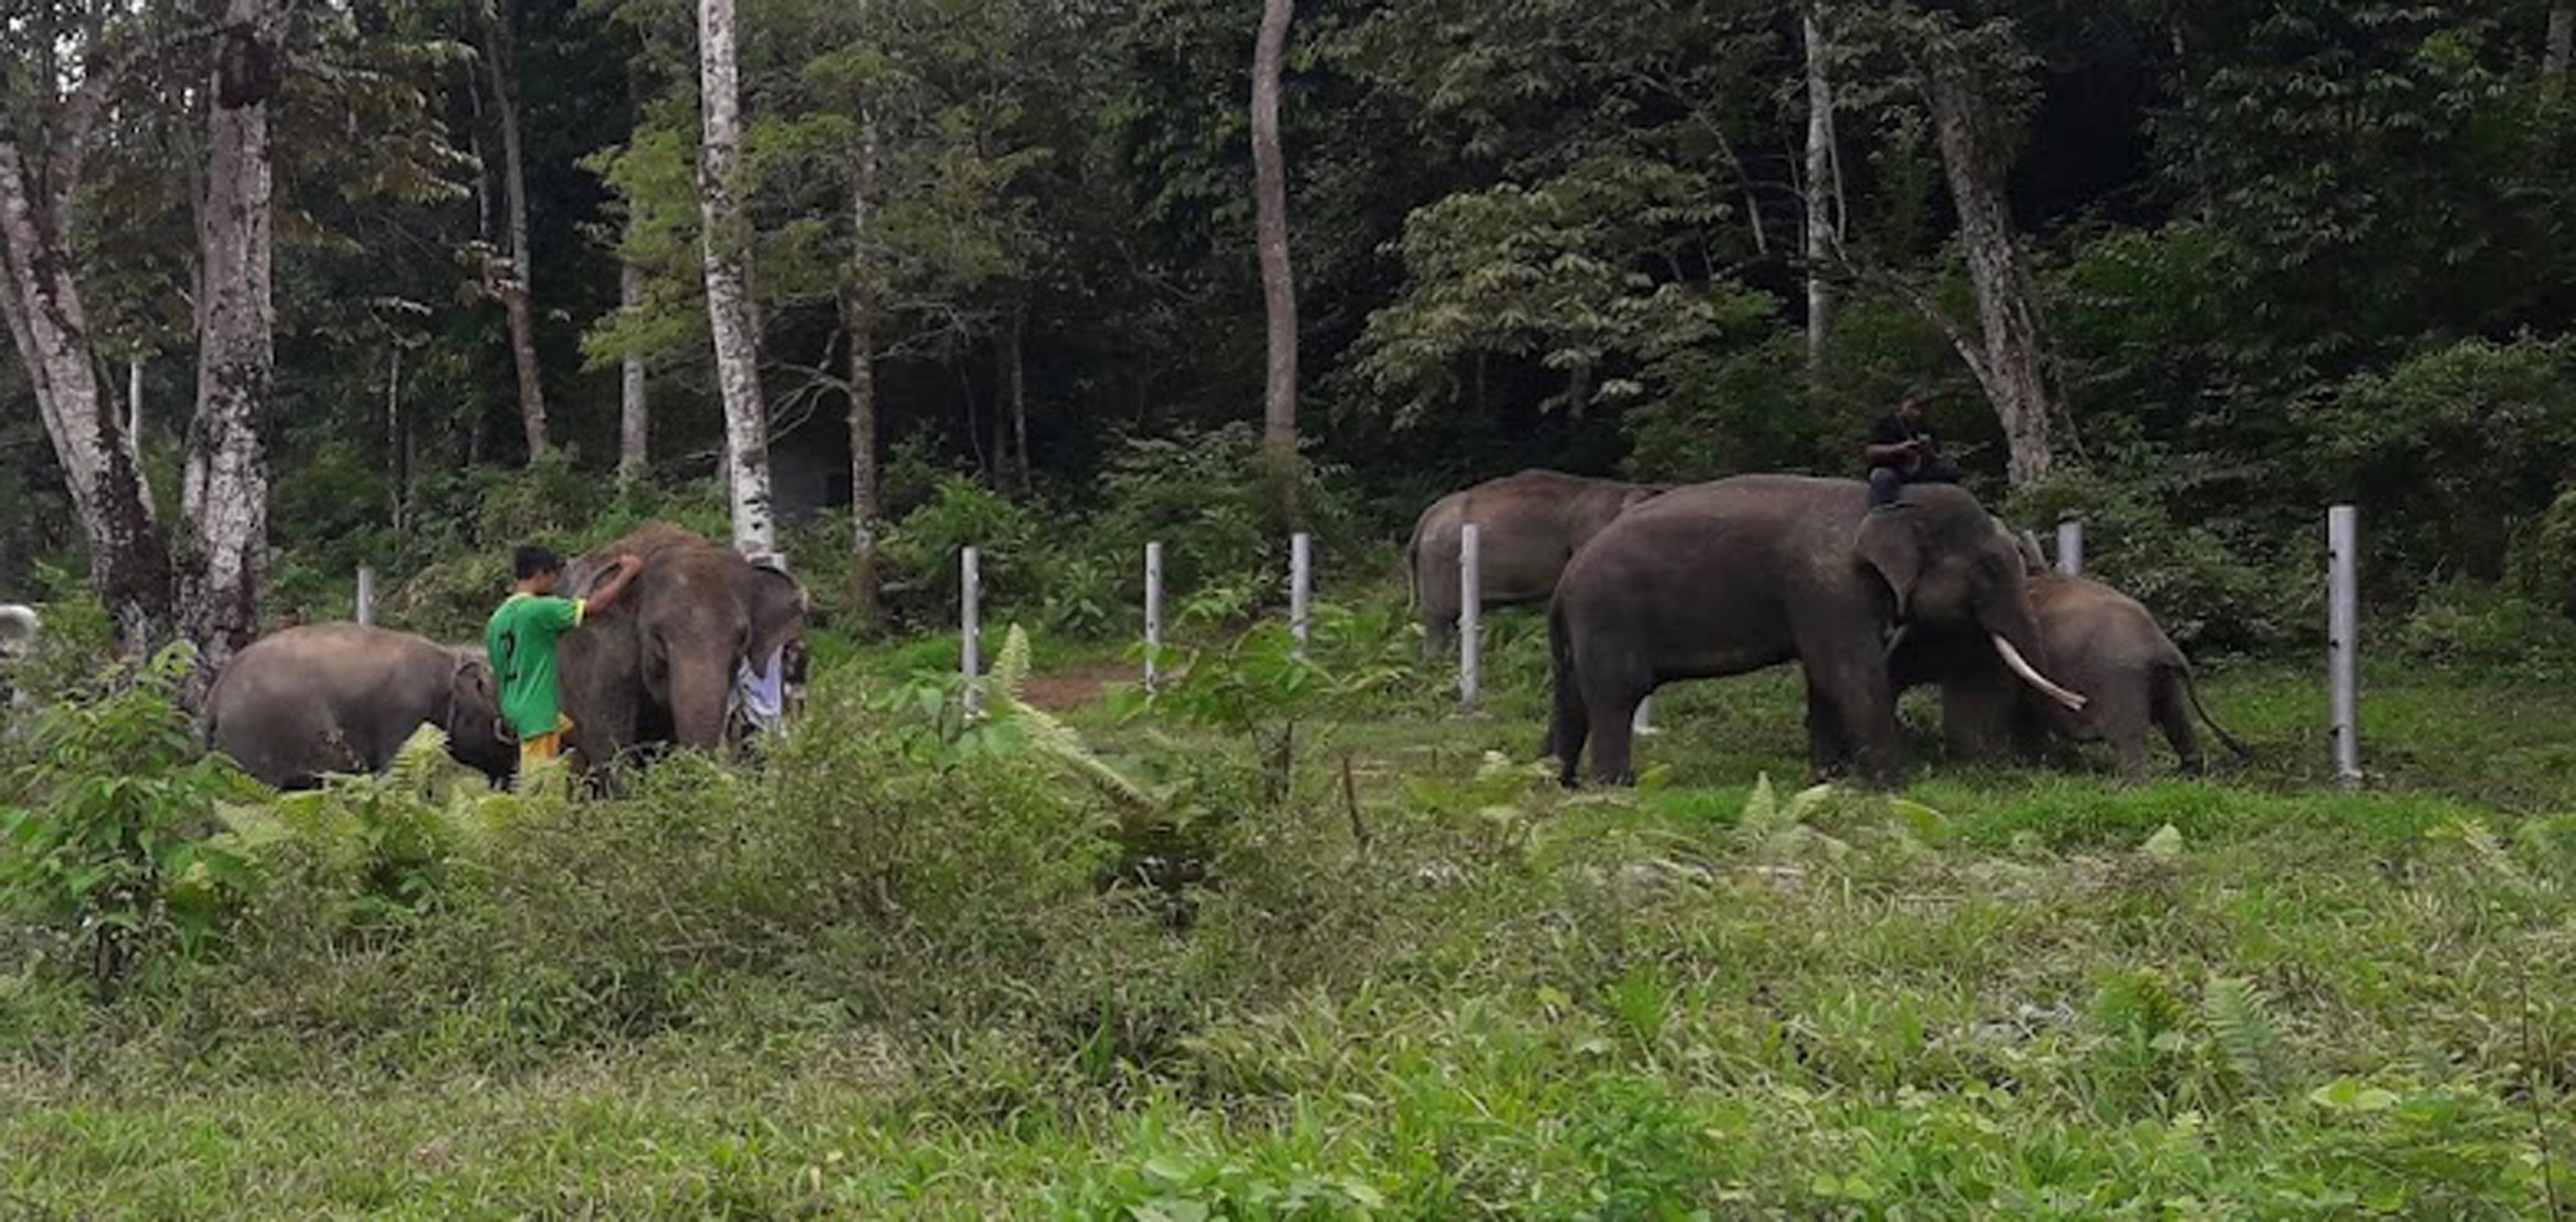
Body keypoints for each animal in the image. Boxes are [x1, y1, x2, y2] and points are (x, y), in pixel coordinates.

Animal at [203, 626, 515, 789]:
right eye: (505, 728)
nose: (500, 789)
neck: (449, 665)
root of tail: (216, 694)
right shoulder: (405, 715)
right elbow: (398, 774)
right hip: (251, 742)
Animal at [1535, 472, 2081, 789]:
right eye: (1989, 569)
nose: (2080, 706)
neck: (1886, 503)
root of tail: (1564, 582)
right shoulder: (1828, 585)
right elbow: (1846, 672)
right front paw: (1892, 788)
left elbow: (1824, 678)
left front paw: (1829, 780)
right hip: (1609, 616)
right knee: (1615, 695)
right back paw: (1617, 787)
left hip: (1581, 630)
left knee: (1573, 698)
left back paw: (1552, 780)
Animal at [1886, 569, 2246, 778]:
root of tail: (2163, 644)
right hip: (2162, 681)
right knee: (2177, 722)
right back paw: (2190, 776)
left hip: (2121, 680)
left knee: (2129, 736)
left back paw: (2128, 787)